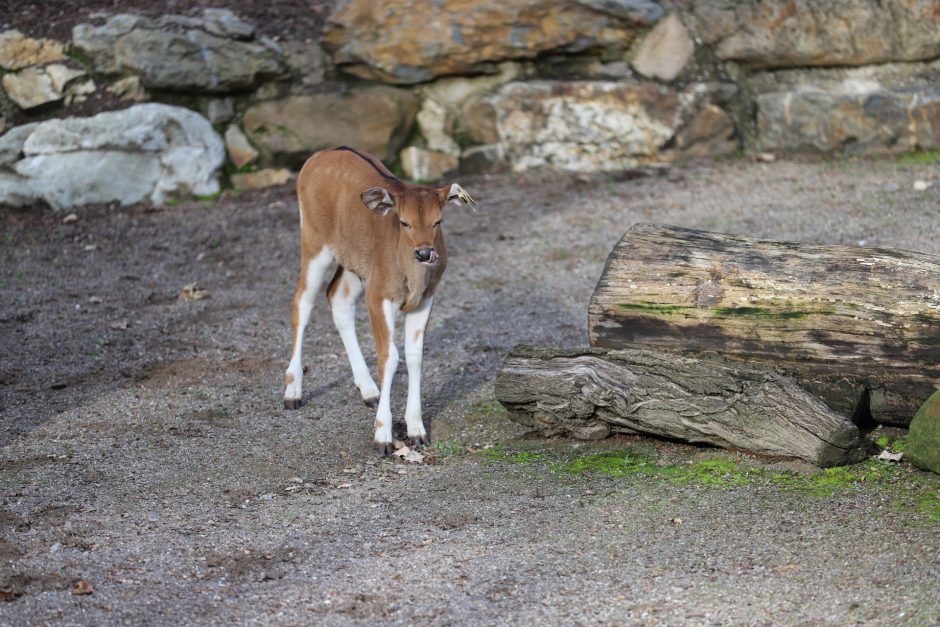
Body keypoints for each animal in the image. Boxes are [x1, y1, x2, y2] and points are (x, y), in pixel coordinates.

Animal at [282, 145, 478, 454]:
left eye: (438, 220)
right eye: (404, 222)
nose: (425, 253)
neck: (410, 278)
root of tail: (319, 156)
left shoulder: (425, 298)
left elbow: (414, 355)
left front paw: (417, 430)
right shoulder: (378, 295)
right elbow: (390, 357)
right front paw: (383, 436)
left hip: (354, 262)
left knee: (337, 297)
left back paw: (369, 390)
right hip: (313, 241)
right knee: (301, 301)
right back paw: (293, 392)